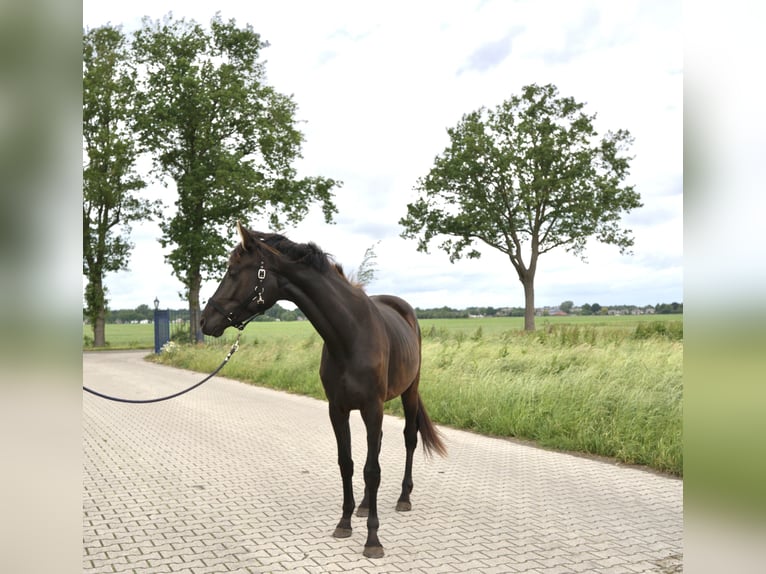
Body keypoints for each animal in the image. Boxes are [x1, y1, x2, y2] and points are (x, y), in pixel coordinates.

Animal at [200, 222, 447, 558]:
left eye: (234, 271)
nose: (204, 321)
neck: (350, 335)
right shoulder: (338, 409)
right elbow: (348, 464)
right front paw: (345, 522)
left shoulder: (372, 407)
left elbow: (372, 469)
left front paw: (373, 540)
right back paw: (366, 504)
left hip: (409, 391)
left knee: (409, 437)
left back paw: (404, 498)